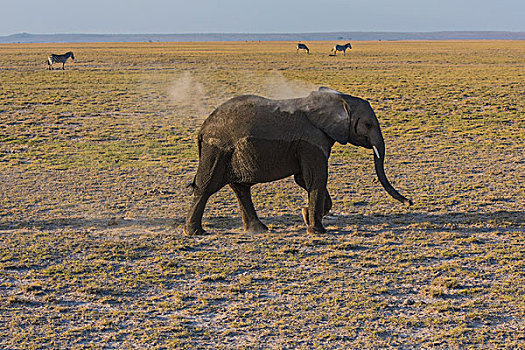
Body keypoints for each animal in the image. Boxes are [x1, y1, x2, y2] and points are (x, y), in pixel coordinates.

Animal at [182, 87, 412, 235]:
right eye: (368, 125)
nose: (409, 202)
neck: (339, 100)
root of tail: (203, 128)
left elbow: (305, 180)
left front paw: (305, 214)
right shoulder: (311, 142)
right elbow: (315, 178)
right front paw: (317, 231)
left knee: (241, 188)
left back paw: (258, 230)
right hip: (217, 149)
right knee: (207, 186)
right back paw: (195, 233)